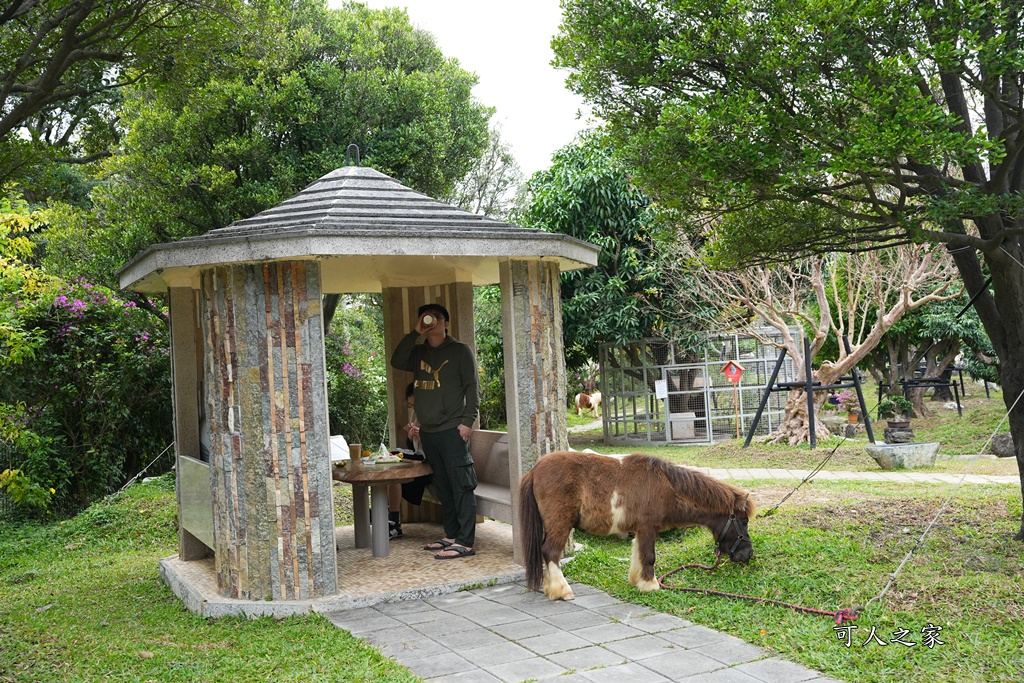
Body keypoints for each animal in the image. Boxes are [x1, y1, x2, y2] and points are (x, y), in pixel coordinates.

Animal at [520, 450, 753, 602]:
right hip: (560, 523)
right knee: (550, 552)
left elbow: (637, 554)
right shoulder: (648, 527)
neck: (666, 485)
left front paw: (636, 581)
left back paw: (550, 589)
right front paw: (651, 586)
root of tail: (534, 471)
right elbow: (649, 556)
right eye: (743, 521)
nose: (747, 555)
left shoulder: (640, 529)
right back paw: (562, 591)